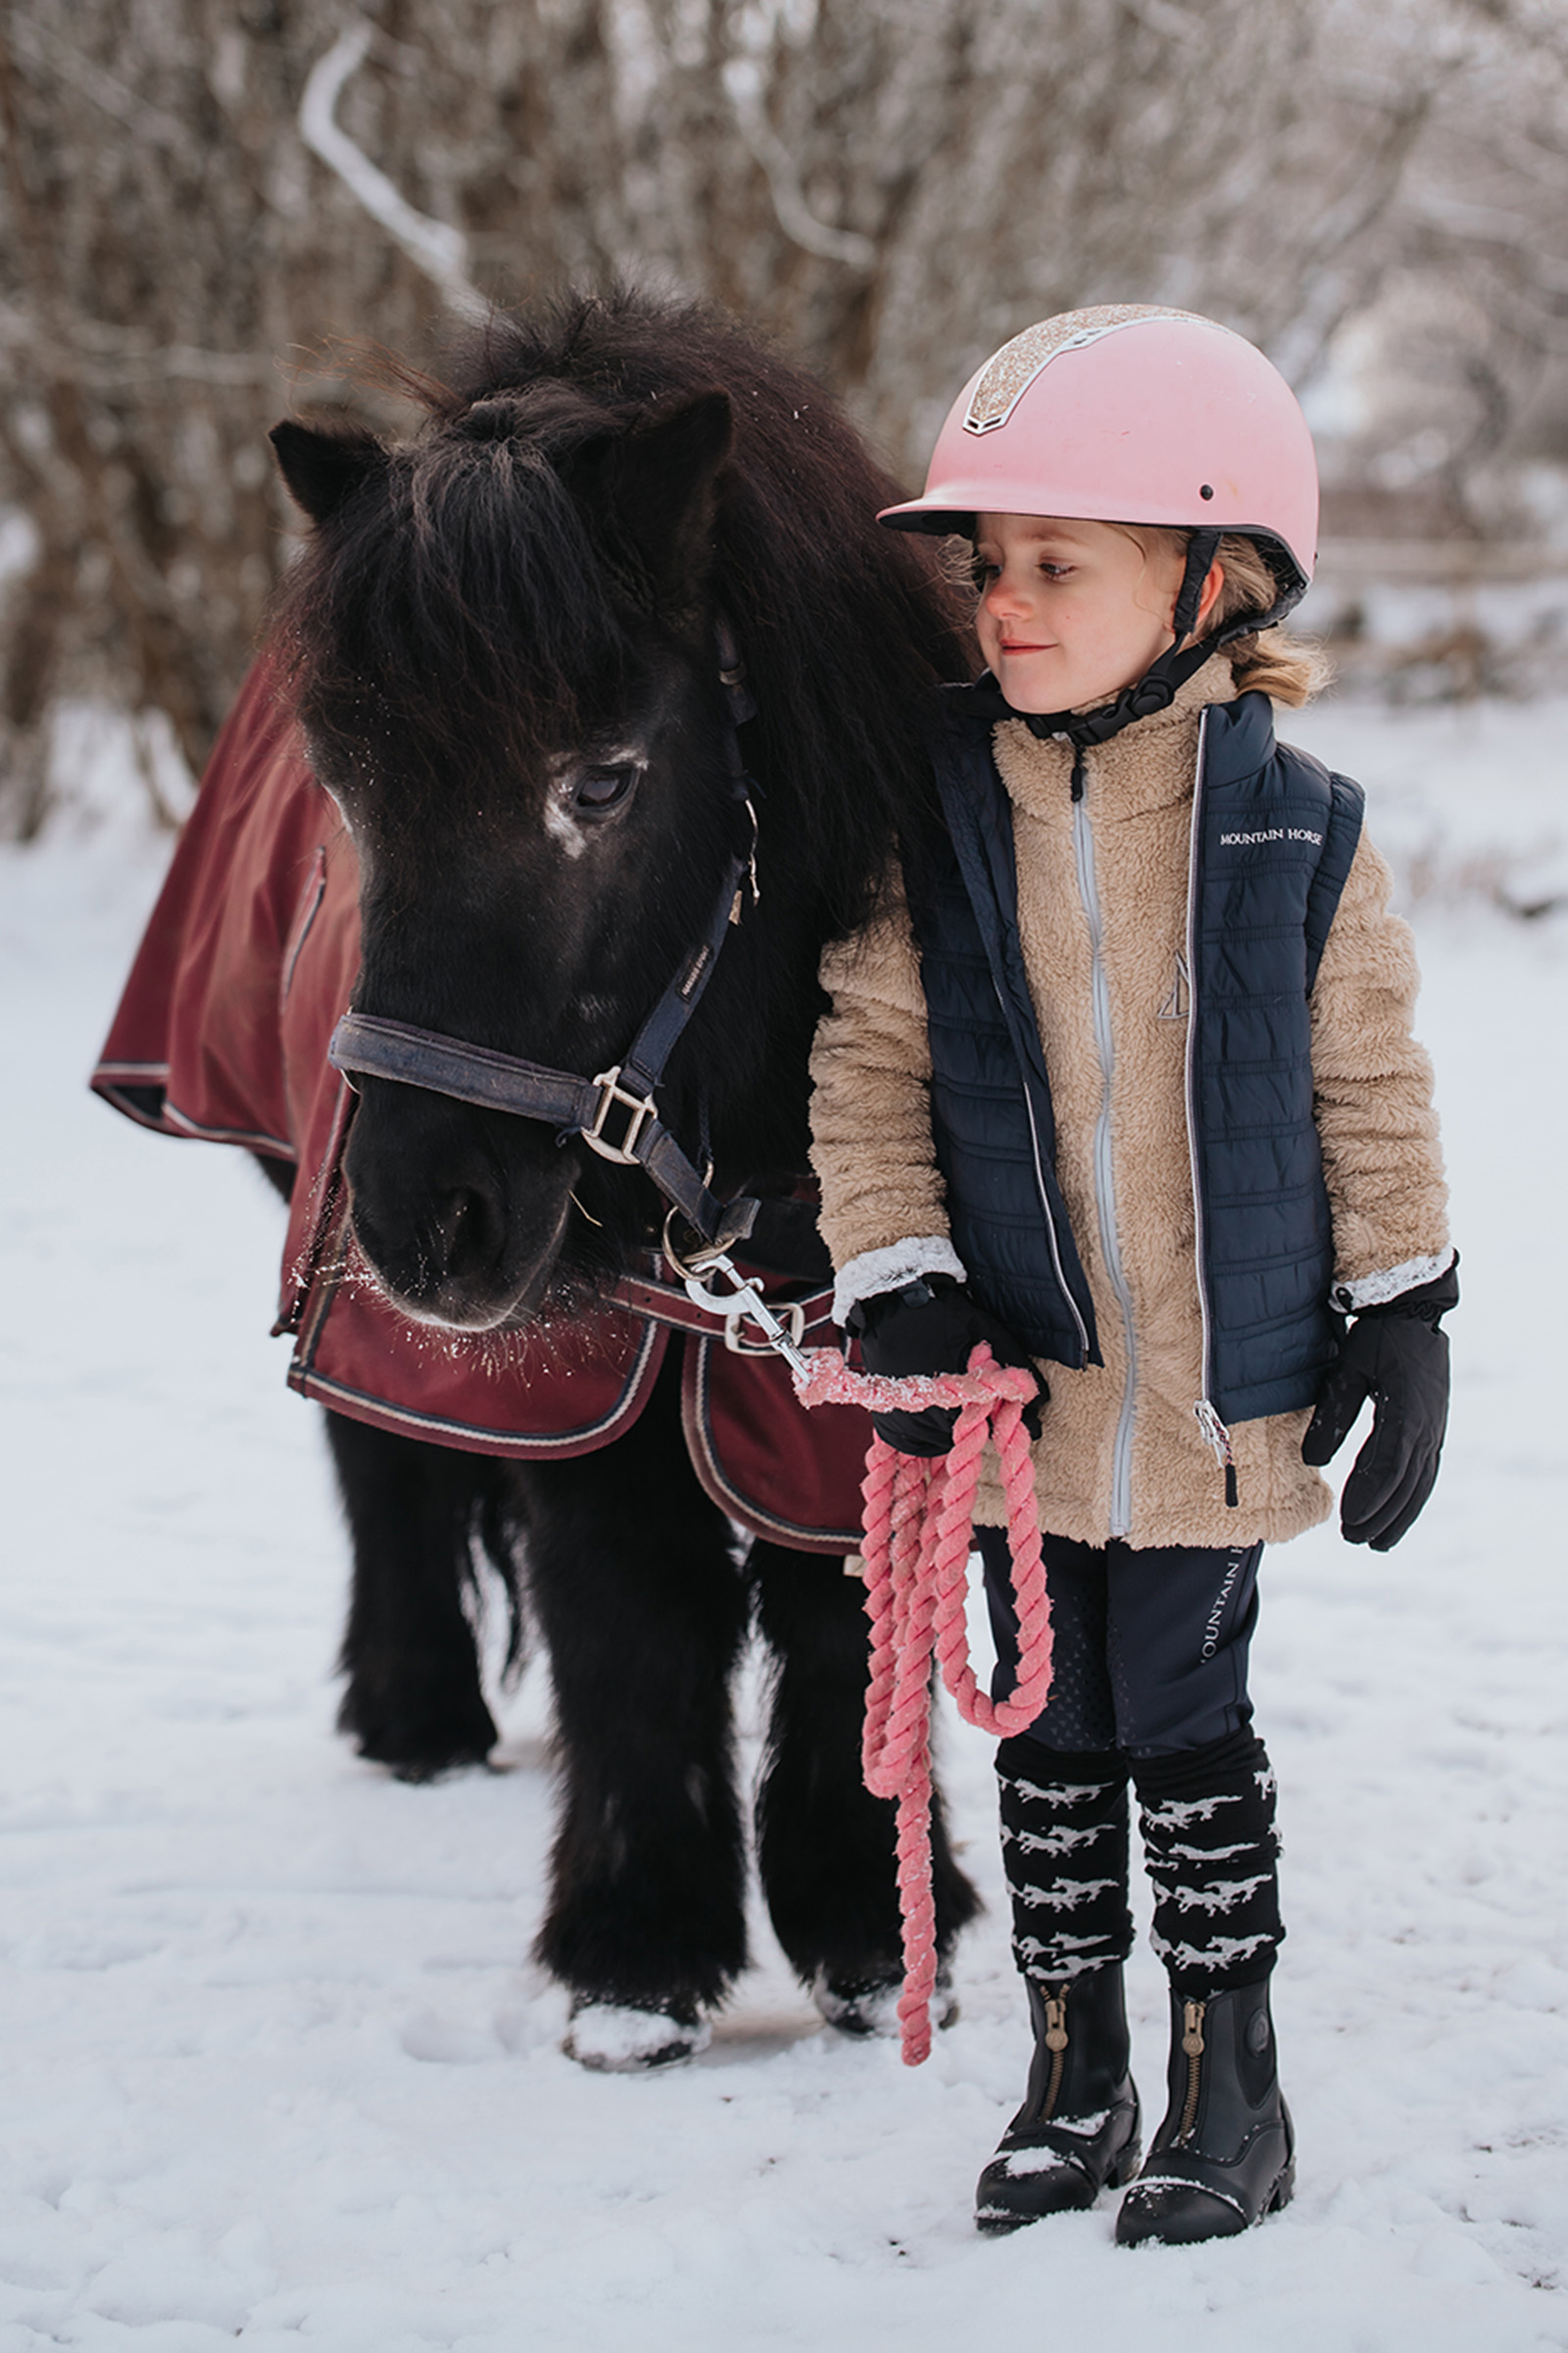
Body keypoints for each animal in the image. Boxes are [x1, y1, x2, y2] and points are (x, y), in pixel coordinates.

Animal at [250, 286, 981, 2067]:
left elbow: (840, 1594)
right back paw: (416, 1711)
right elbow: (628, 1613)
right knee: (377, 1456)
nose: (426, 1226)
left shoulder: (855, 1344)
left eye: (599, 779)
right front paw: (637, 1957)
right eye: (344, 791)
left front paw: (873, 1930)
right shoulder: (585, 1357)